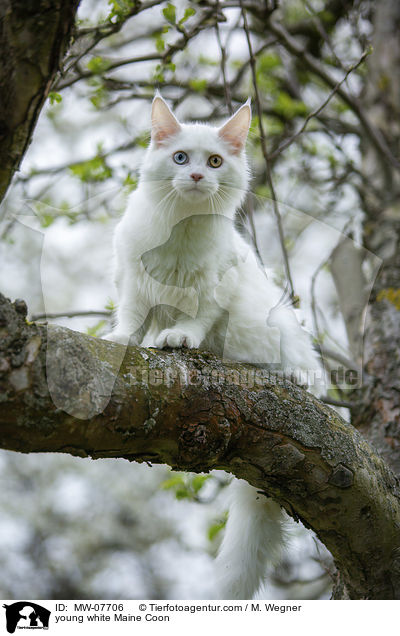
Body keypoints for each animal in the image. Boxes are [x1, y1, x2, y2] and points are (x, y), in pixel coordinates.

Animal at [104, 93, 320, 596]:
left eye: (216, 161)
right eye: (181, 158)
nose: (199, 176)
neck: (181, 230)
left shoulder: (218, 288)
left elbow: (197, 321)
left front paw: (179, 338)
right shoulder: (133, 282)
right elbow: (132, 318)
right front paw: (123, 336)